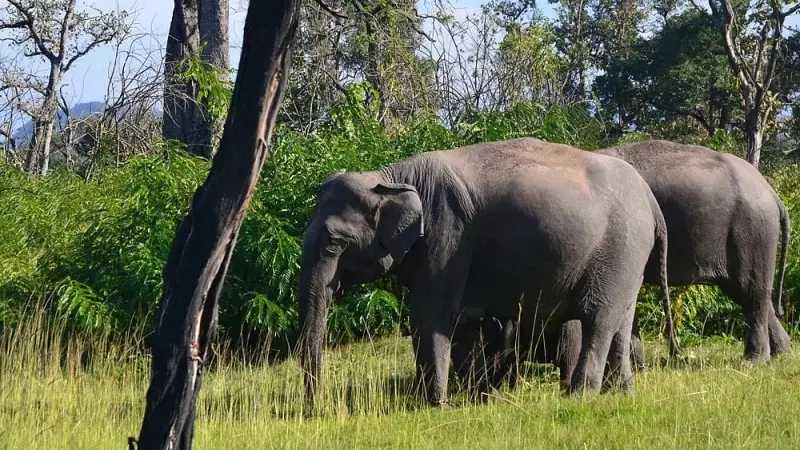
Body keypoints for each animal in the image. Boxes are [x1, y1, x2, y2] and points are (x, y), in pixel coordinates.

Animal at [296, 137, 674, 406]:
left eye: (334, 243)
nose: (317, 409)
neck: (390, 176)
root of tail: (651, 202)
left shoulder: (446, 236)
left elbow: (431, 314)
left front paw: (436, 406)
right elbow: (462, 324)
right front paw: (479, 400)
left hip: (618, 249)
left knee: (598, 318)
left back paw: (579, 397)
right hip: (628, 259)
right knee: (622, 320)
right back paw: (621, 395)